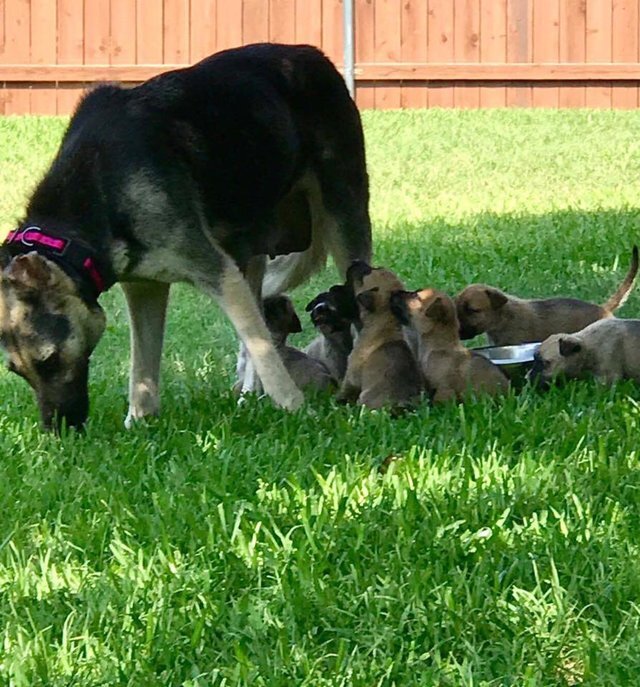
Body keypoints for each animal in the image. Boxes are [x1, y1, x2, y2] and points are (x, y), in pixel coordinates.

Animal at [0, 44, 372, 430]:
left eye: (49, 360)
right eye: (18, 371)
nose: (58, 432)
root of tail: (311, 54)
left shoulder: (219, 274)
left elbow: (265, 350)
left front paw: (296, 409)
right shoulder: (144, 286)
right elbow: (142, 370)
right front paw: (139, 423)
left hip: (344, 220)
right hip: (250, 249)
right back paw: (249, 397)